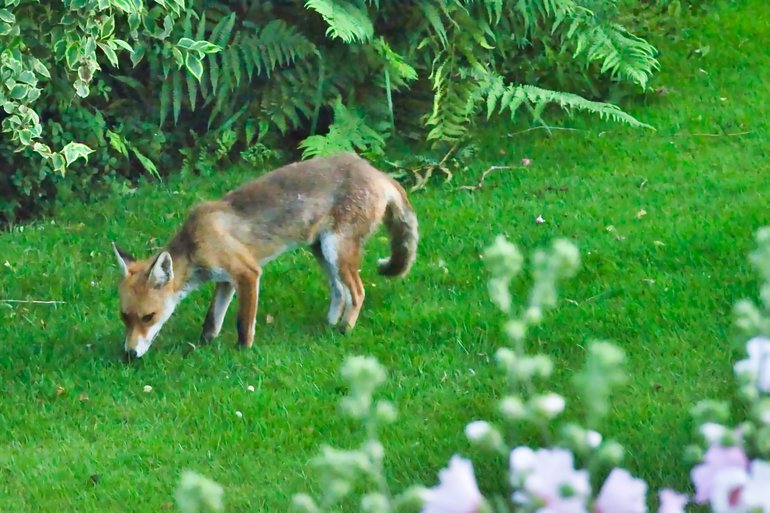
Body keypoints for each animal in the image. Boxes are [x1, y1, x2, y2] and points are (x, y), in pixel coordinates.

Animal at [111, 153, 416, 356]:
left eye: (148, 317)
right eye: (125, 317)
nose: (129, 354)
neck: (196, 242)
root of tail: (377, 172)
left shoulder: (247, 273)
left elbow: (243, 323)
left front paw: (243, 352)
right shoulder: (225, 279)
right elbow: (212, 320)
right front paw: (203, 345)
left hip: (336, 250)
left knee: (358, 292)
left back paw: (345, 330)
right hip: (322, 251)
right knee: (340, 292)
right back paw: (329, 325)